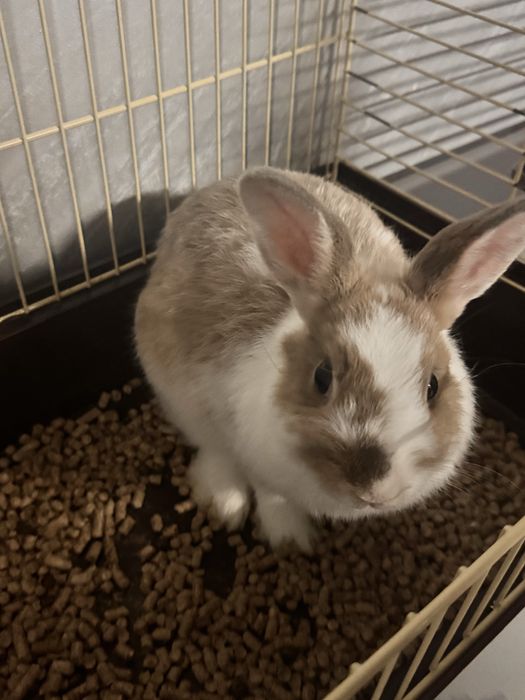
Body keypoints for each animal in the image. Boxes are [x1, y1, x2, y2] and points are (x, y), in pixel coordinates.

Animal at [134, 167, 525, 551]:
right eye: (322, 377)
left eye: (433, 387)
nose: (375, 489)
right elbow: (269, 493)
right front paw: (289, 539)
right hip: (178, 396)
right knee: (211, 448)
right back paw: (224, 504)